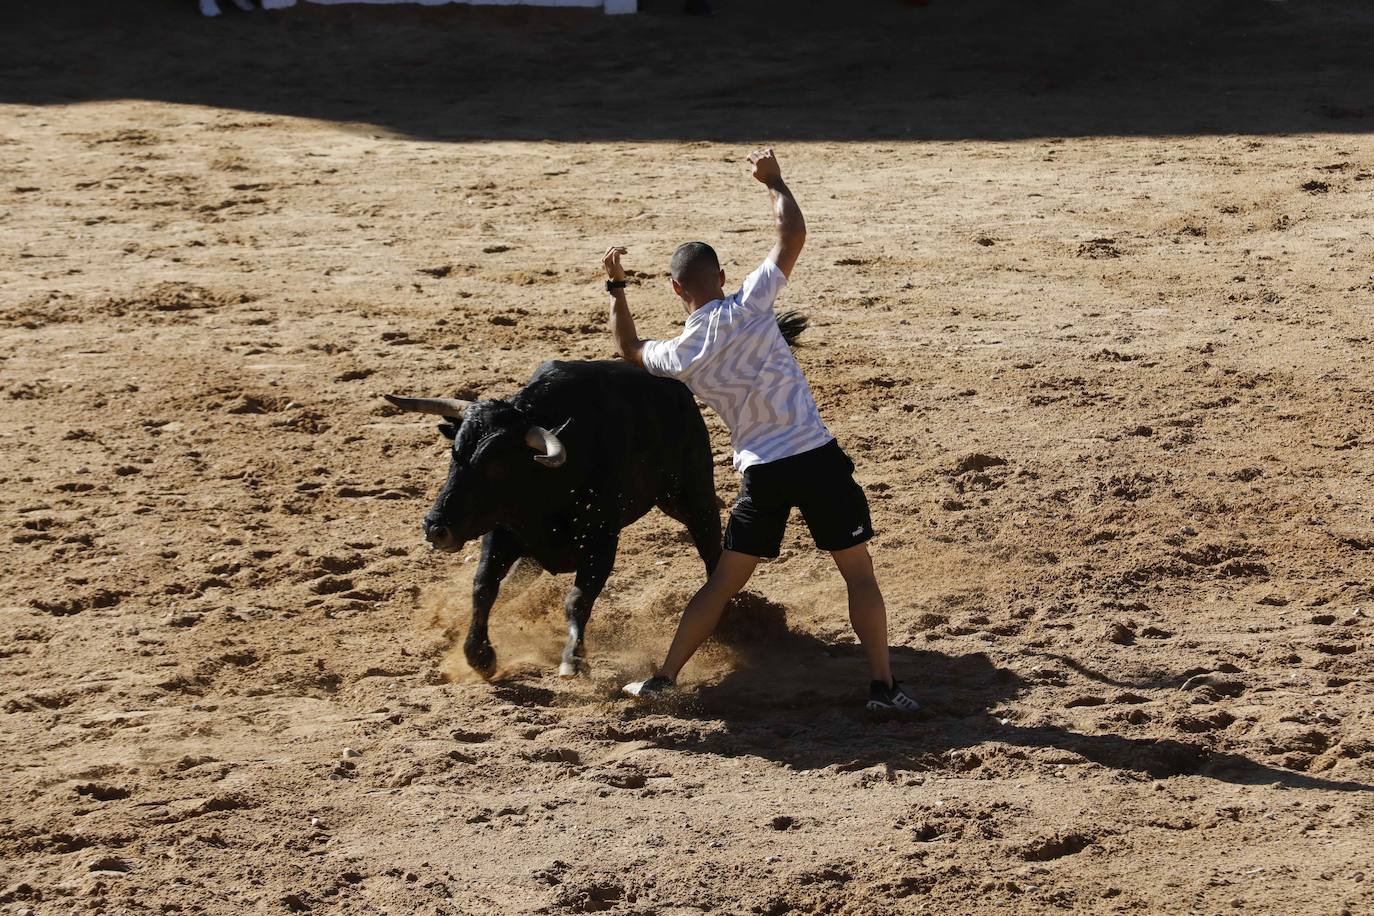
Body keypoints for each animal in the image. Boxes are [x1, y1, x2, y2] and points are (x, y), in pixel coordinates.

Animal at [387, 311, 802, 678]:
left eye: (497, 466)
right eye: (454, 453)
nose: (436, 527)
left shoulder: (601, 540)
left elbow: (577, 598)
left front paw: (573, 660)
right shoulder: (502, 532)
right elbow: (484, 586)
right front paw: (479, 654)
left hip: (690, 496)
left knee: (711, 548)